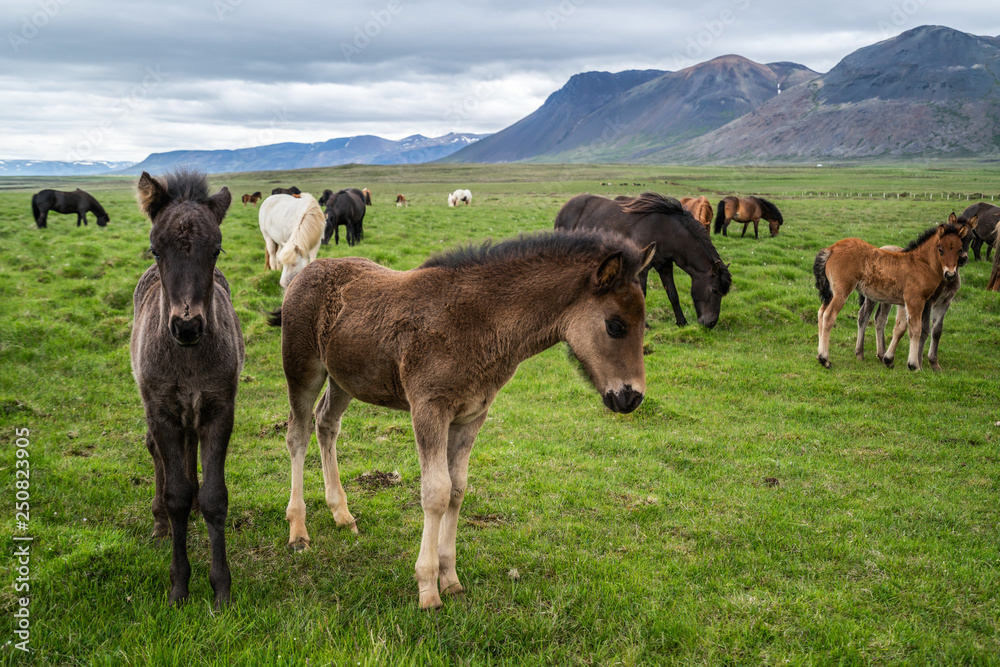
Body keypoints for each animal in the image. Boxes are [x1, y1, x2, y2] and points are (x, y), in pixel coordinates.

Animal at [128, 168, 243, 612]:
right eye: (155, 250)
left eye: (216, 250)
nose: (188, 326)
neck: (189, 359)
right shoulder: (162, 411)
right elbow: (175, 492)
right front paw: (179, 587)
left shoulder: (218, 410)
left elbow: (214, 497)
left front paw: (221, 588)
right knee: (156, 453)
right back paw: (159, 522)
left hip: (192, 414)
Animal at [266, 231, 656, 612]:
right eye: (615, 326)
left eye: (643, 324)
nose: (632, 397)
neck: (480, 322)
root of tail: (304, 273)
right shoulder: (429, 409)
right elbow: (435, 492)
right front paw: (427, 589)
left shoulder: (471, 416)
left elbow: (456, 490)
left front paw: (450, 579)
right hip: (303, 370)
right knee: (297, 434)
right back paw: (298, 530)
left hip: (344, 378)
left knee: (326, 423)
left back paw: (342, 513)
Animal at [556, 190, 736, 328]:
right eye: (714, 290)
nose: (711, 323)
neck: (666, 231)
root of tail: (564, 208)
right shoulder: (642, 269)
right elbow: (642, 294)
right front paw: (645, 325)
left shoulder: (665, 266)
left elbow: (673, 294)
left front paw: (681, 322)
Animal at [812, 222, 968, 374]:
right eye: (940, 249)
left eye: (959, 249)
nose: (950, 274)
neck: (921, 263)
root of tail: (832, 248)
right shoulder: (916, 300)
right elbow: (916, 329)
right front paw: (914, 365)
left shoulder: (904, 303)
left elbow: (900, 327)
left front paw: (888, 359)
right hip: (841, 292)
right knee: (829, 316)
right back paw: (825, 359)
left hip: (831, 293)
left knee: (821, 312)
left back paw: (820, 354)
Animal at [856, 213, 980, 370]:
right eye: (941, 249)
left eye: (971, 237)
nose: (963, 259)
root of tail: (882, 247)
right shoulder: (926, 302)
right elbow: (923, 330)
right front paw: (918, 362)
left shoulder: (944, 303)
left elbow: (936, 331)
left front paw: (934, 364)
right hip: (871, 297)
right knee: (863, 316)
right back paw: (860, 353)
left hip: (885, 299)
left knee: (880, 319)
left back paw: (881, 354)